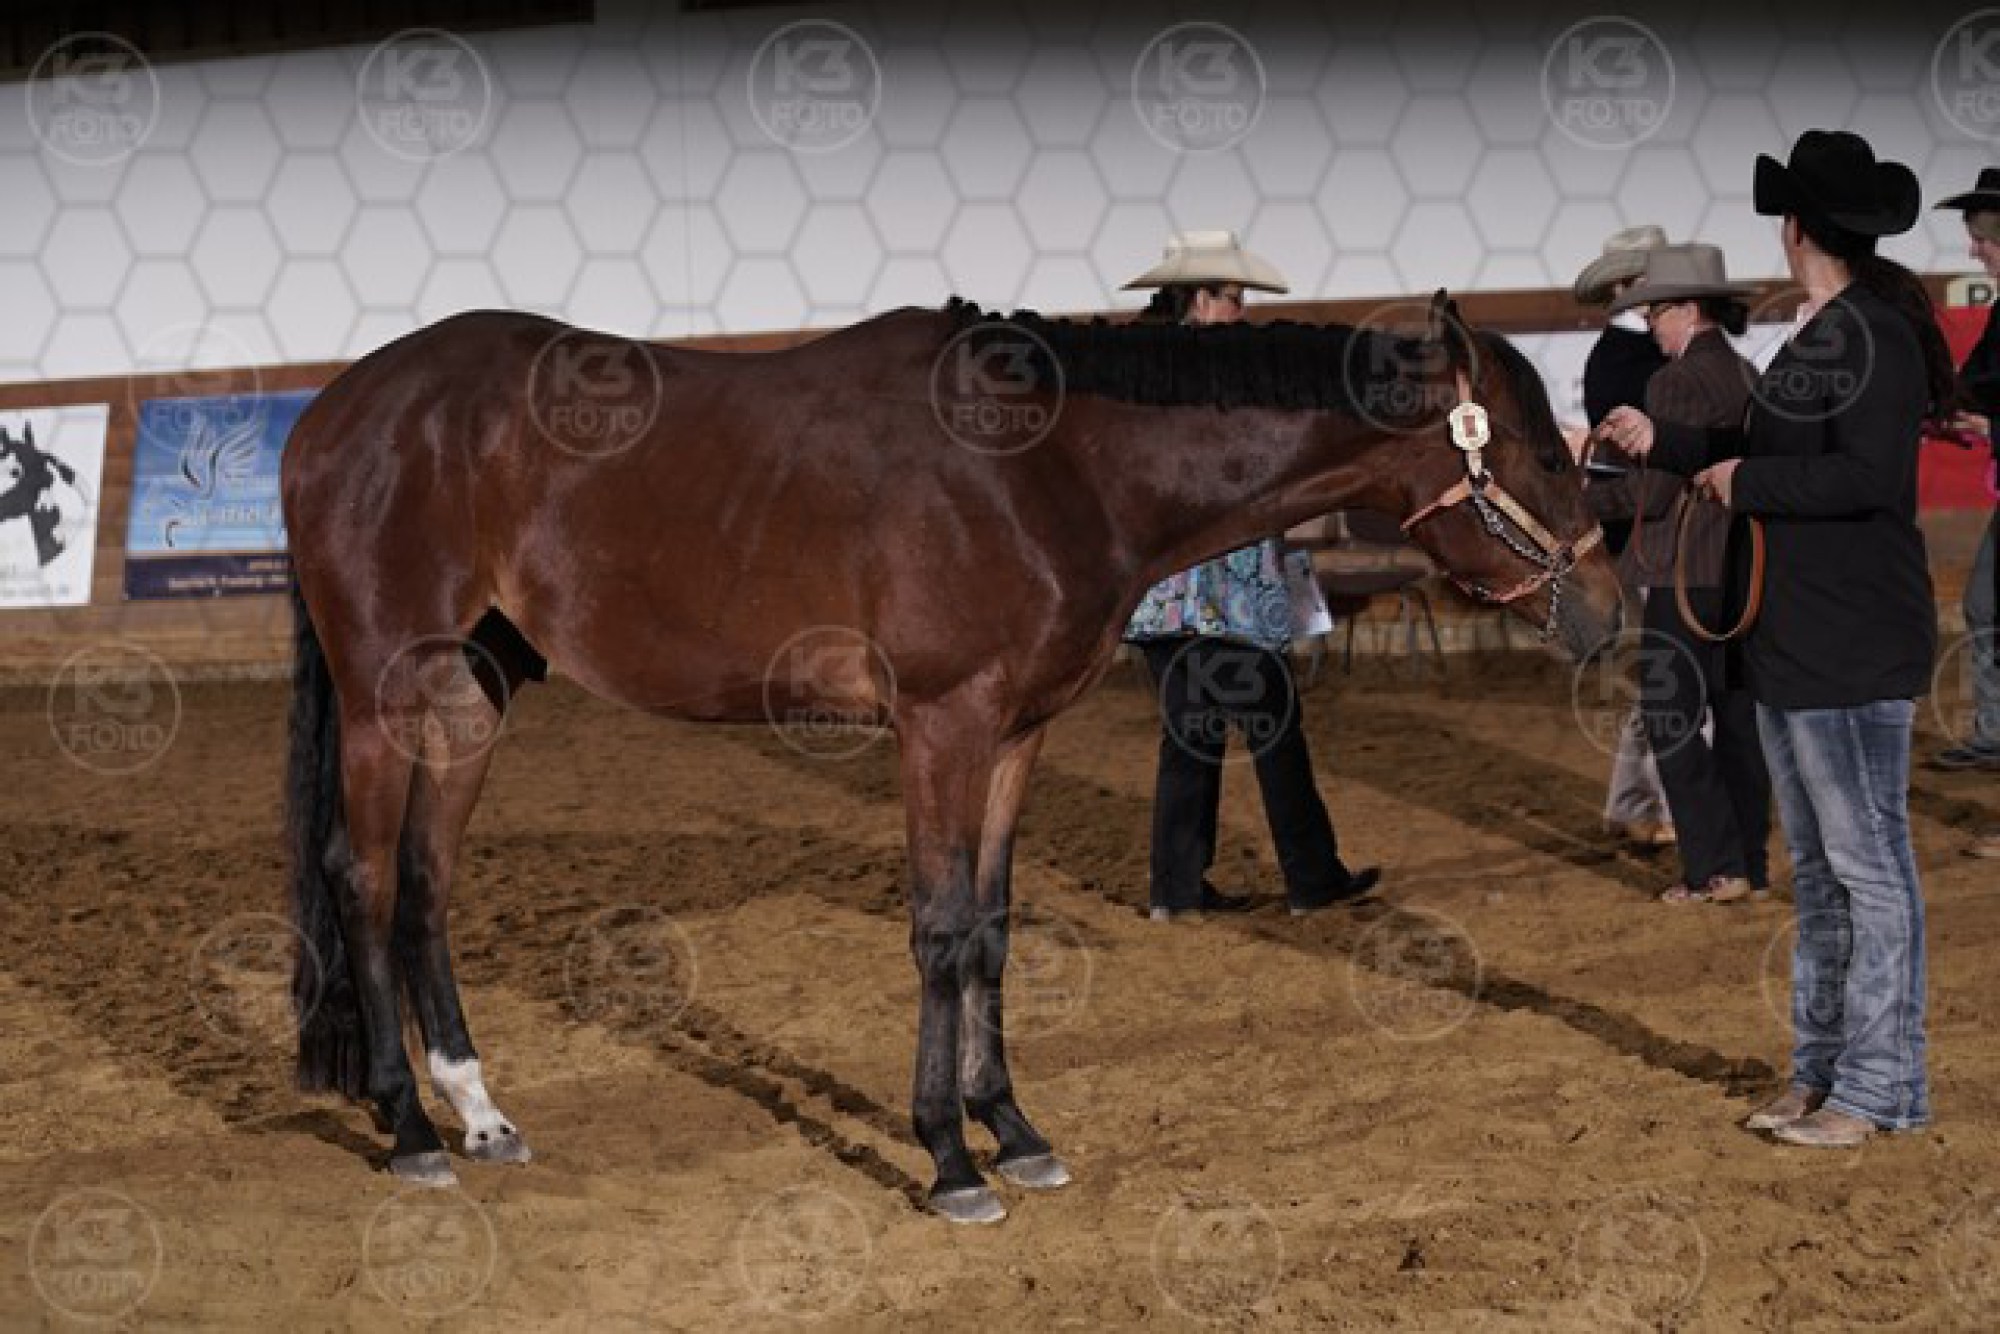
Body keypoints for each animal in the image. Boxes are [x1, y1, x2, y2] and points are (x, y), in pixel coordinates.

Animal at [280, 291, 1622, 1224]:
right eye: (1548, 452)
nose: (1608, 612)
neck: (1045, 464)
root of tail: (333, 412)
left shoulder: (1014, 733)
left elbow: (989, 928)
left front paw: (1013, 1131)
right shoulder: (941, 725)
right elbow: (934, 933)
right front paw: (945, 1156)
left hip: (471, 692)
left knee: (427, 886)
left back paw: (479, 1112)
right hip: (384, 693)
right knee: (361, 876)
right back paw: (407, 1131)